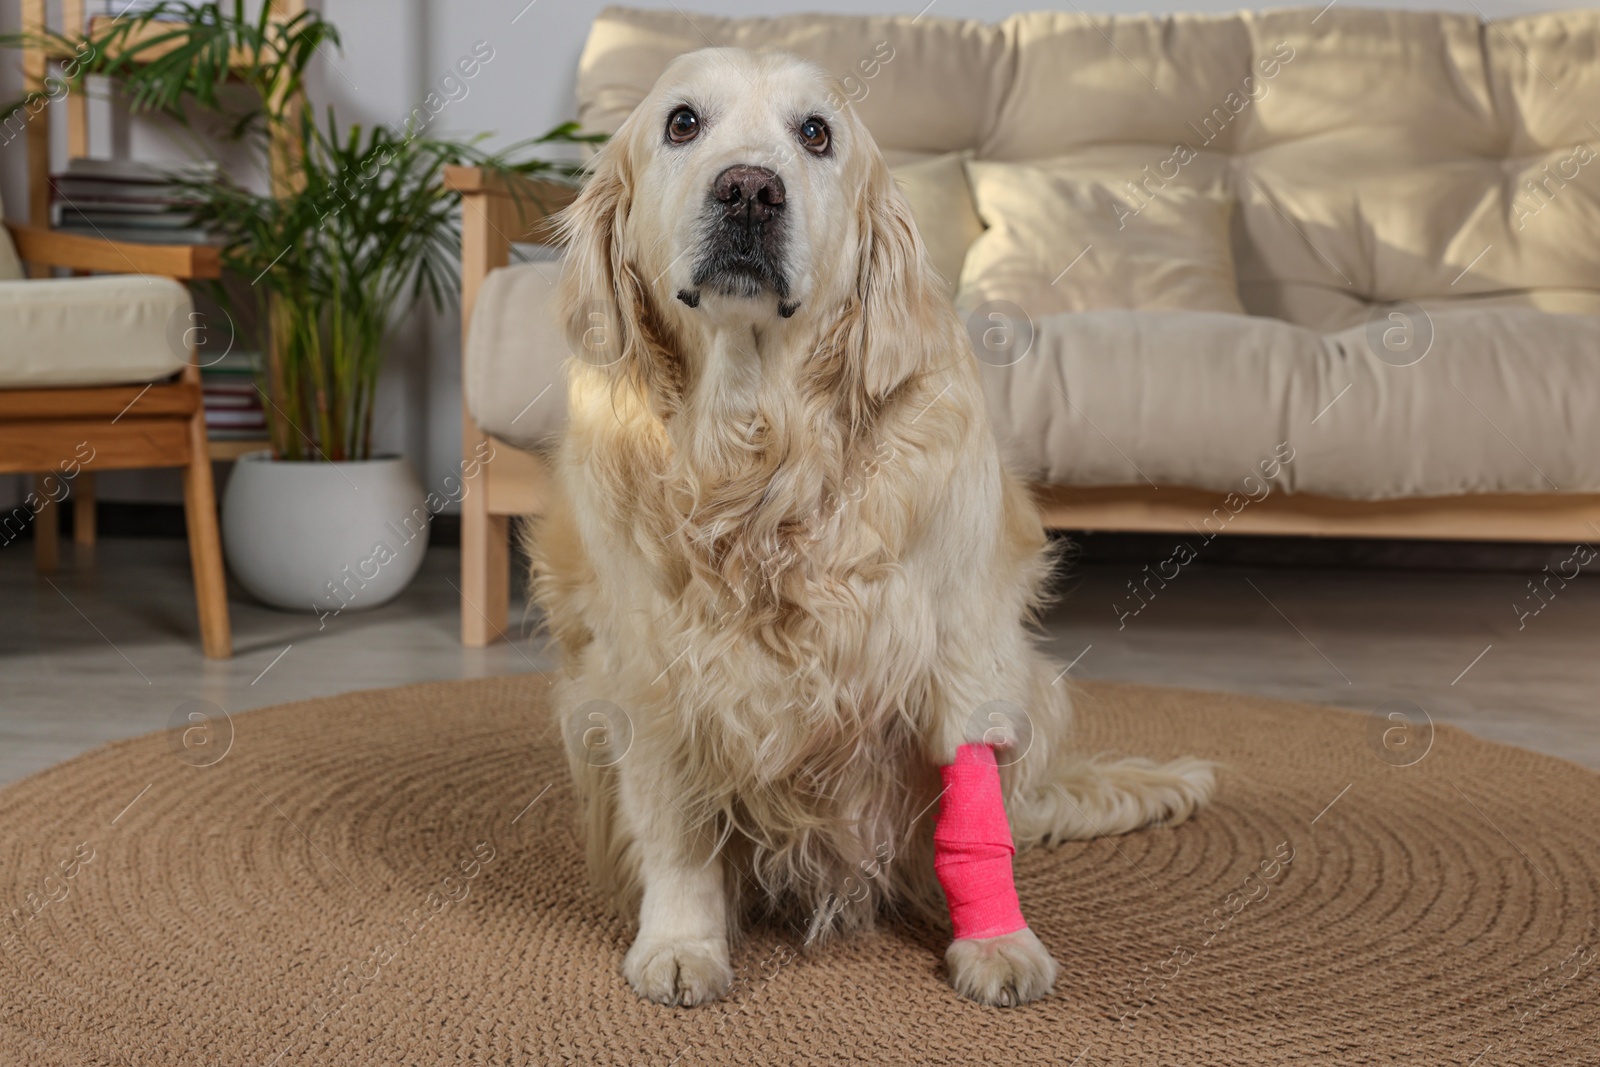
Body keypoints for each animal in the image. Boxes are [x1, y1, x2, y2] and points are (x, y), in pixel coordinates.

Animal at [524, 43, 1209, 1011]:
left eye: (816, 133)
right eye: (682, 122)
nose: (749, 191)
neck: (759, 452)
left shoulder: (960, 642)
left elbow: (972, 805)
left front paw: (997, 942)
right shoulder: (649, 665)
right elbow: (677, 820)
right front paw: (683, 939)